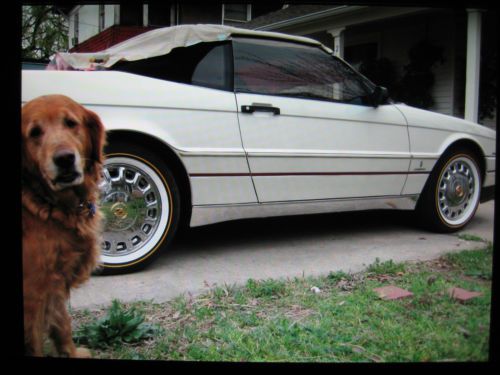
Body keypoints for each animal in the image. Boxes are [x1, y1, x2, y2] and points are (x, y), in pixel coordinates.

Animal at [23, 94, 107, 358]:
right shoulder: (32, 292)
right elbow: (34, 342)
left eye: (71, 123)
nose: (64, 159)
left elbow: (62, 322)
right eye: (34, 132)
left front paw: (72, 353)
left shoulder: (53, 280)